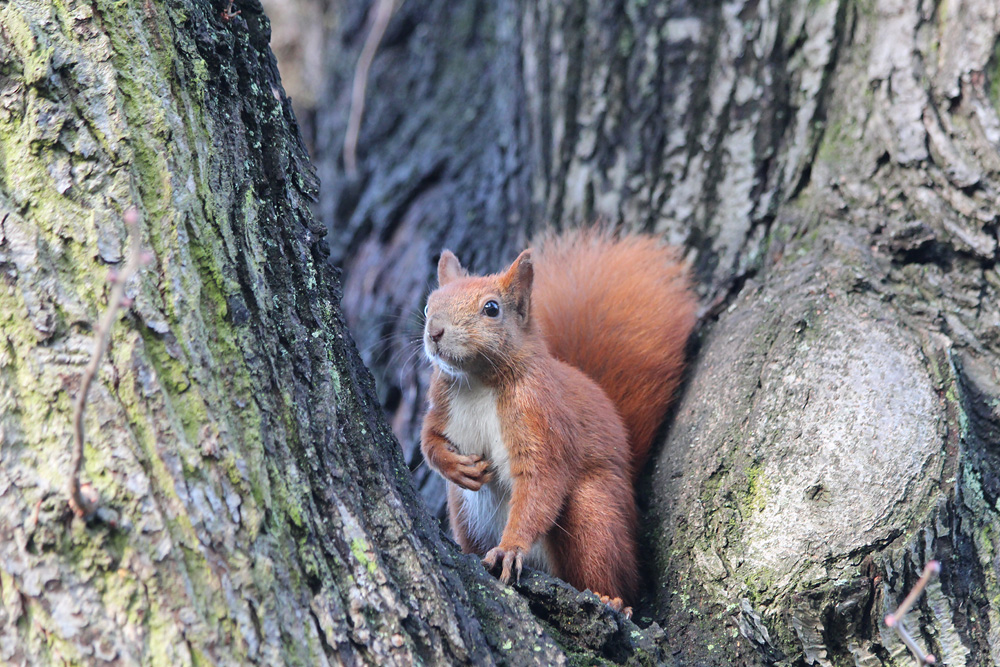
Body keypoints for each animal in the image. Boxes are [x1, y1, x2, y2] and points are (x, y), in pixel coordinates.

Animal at [416, 230, 696, 616]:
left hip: (593, 513)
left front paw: (510, 547)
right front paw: (454, 465)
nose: (435, 332)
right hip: (464, 513)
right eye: (429, 306)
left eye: (492, 309)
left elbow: (541, 480)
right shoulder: (440, 406)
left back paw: (611, 600)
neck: (476, 382)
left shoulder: (542, 416)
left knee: (609, 571)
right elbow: (429, 440)